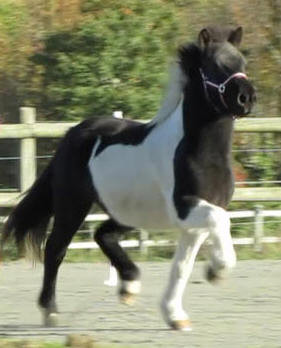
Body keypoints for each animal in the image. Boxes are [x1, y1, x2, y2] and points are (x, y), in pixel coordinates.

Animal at [0, 25, 254, 332]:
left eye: (242, 64)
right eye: (215, 66)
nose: (247, 98)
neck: (200, 154)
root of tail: (74, 132)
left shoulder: (194, 222)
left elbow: (182, 267)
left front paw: (177, 314)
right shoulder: (186, 207)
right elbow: (221, 220)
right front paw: (217, 270)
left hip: (128, 212)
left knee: (102, 234)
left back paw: (129, 285)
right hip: (73, 205)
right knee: (56, 248)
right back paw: (51, 311)